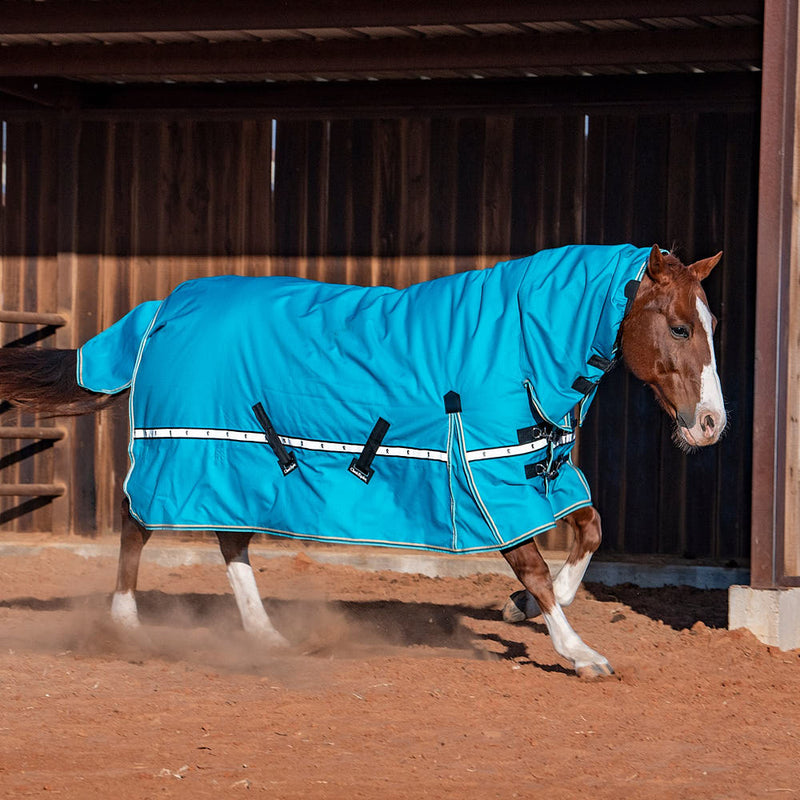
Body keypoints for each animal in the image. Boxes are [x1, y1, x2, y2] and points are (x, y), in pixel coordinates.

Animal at [0, 244, 725, 678]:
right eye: (680, 327)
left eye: (710, 325)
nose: (712, 425)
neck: (516, 346)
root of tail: (161, 309)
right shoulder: (481, 479)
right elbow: (538, 569)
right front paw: (580, 653)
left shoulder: (537, 471)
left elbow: (590, 533)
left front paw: (521, 611)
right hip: (180, 454)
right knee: (135, 522)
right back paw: (127, 628)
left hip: (241, 466)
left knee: (230, 544)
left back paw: (267, 637)